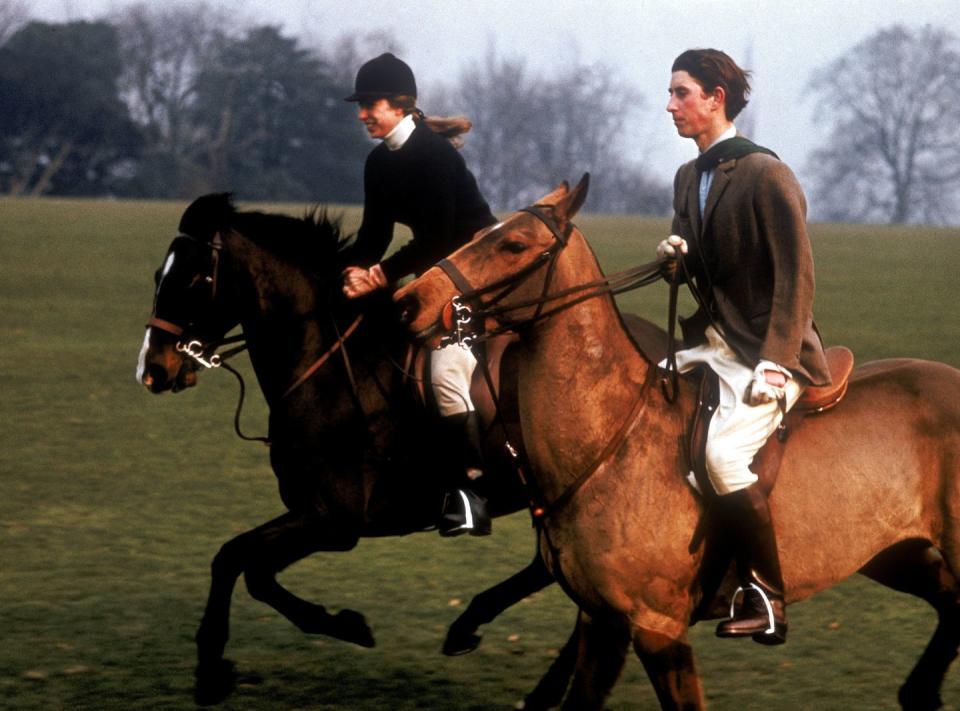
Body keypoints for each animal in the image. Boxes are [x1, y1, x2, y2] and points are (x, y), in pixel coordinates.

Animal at [133, 196, 564, 708]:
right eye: (158, 275)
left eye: (197, 279)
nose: (152, 370)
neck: (330, 369)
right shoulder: (312, 513)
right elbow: (244, 566)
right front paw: (344, 624)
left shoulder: (335, 521)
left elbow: (239, 561)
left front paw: (212, 671)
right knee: (550, 572)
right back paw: (486, 641)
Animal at [394, 174, 960, 711]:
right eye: (476, 235)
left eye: (512, 244)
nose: (408, 302)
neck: (609, 439)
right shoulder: (603, 622)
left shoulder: (656, 627)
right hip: (892, 552)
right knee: (950, 600)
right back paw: (920, 692)